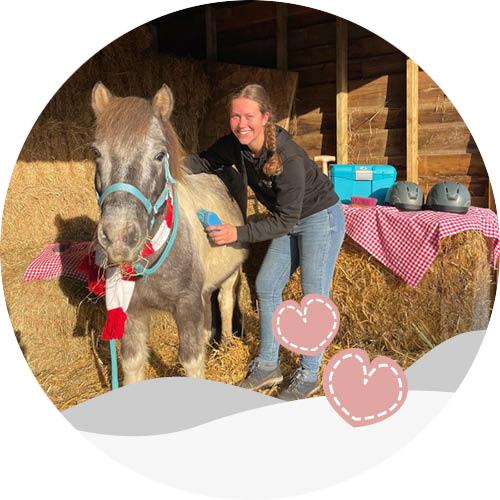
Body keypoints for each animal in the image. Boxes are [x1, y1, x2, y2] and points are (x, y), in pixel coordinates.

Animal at [91, 83, 249, 386]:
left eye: (159, 155)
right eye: (96, 153)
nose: (119, 237)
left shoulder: (186, 306)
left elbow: (191, 360)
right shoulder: (133, 312)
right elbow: (133, 364)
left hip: (230, 274)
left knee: (224, 302)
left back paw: (226, 345)